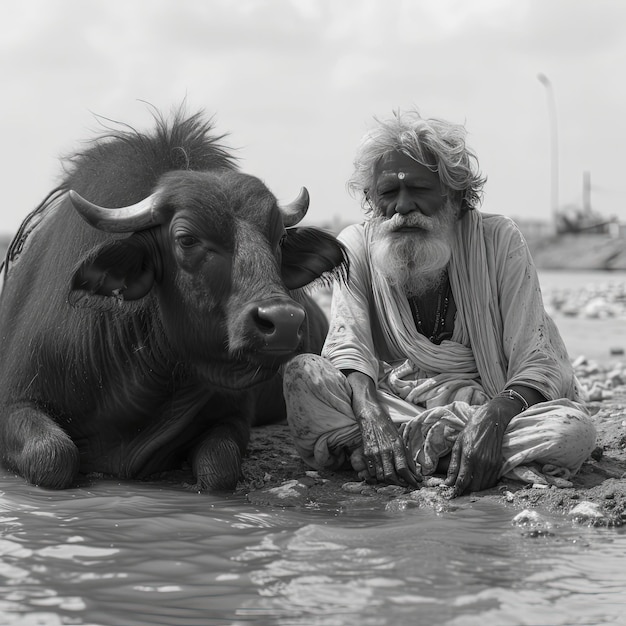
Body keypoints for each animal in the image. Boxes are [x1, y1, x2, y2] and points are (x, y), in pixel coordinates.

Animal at [0, 108, 346, 488]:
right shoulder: (14, 401)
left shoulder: (233, 417)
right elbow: (54, 456)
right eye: (187, 239)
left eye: (280, 239)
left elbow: (219, 468)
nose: (283, 320)